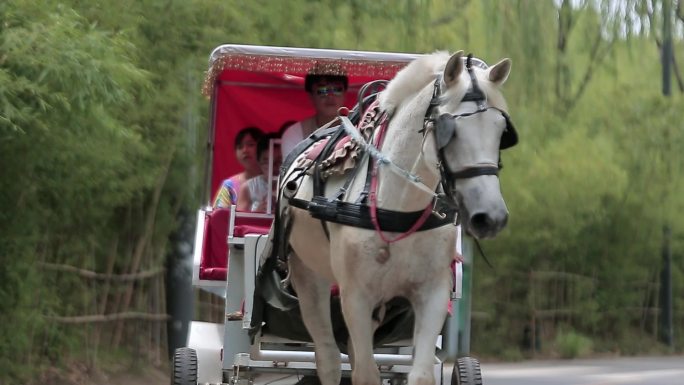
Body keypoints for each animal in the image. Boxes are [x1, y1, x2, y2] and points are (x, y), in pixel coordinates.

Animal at [280, 51, 512, 384]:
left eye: (501, 130)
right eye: (450, 131)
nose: (490, 216)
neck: (399, 206)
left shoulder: (432, 293)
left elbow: (420, 374)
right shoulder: (355, 298)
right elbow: (365, 374)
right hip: (309, 277)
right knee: (328, 359)